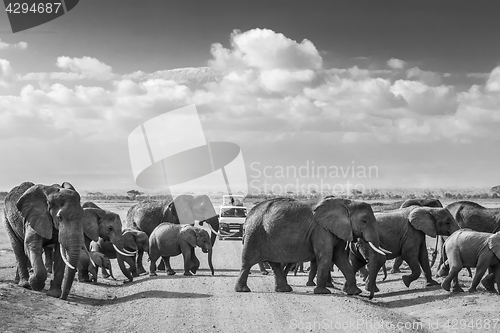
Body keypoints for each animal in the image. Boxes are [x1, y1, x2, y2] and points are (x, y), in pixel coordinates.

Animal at [234, 196, 386, 296]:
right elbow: (326, 256)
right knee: (247, 262)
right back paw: (243, 290)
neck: (346, 202)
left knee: (275, 264)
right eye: (364, 221)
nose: (370, 296)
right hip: (254, 233)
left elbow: (340, 257)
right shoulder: (321, 229)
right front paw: (323, 292)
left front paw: (355, 292)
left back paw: (285, 290)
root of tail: (248, 216)